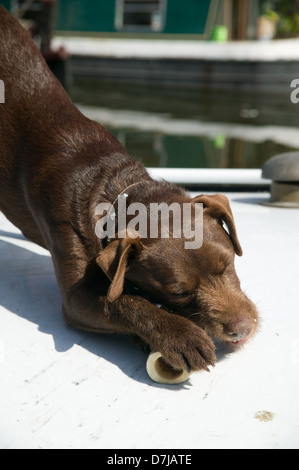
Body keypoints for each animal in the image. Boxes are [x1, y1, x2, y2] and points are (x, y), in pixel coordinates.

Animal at [0, 7, 258, 372]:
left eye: (227, 264)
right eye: (179, 293)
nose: (242, 329)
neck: (112, 185)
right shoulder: (75, 295)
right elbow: (122, 301)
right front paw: (180, 335)